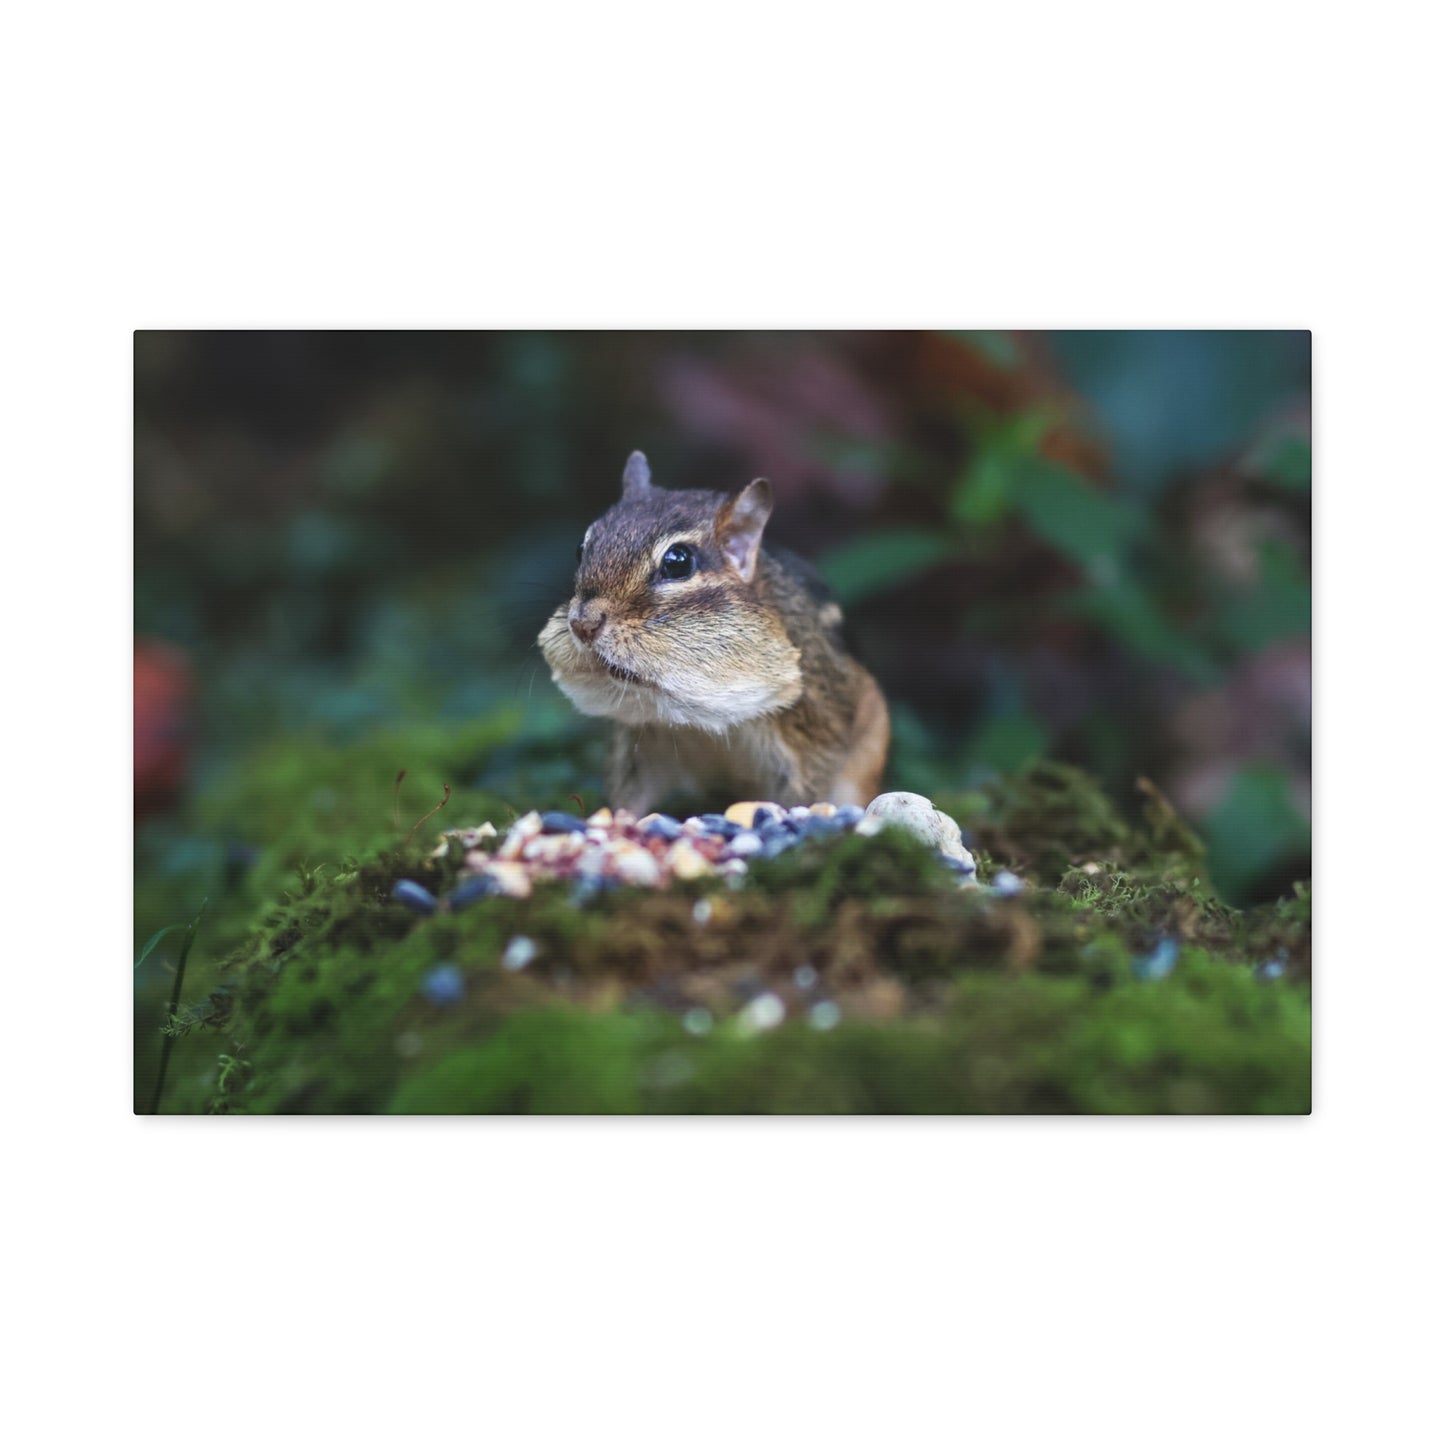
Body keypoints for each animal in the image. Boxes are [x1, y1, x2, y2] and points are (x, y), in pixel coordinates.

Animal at [538, 451, 889, 816]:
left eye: (678, 562)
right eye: (581, 548)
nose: (583, 624)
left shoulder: (812, 735)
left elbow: (806, 790)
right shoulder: (639, 742)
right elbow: (629, 795)